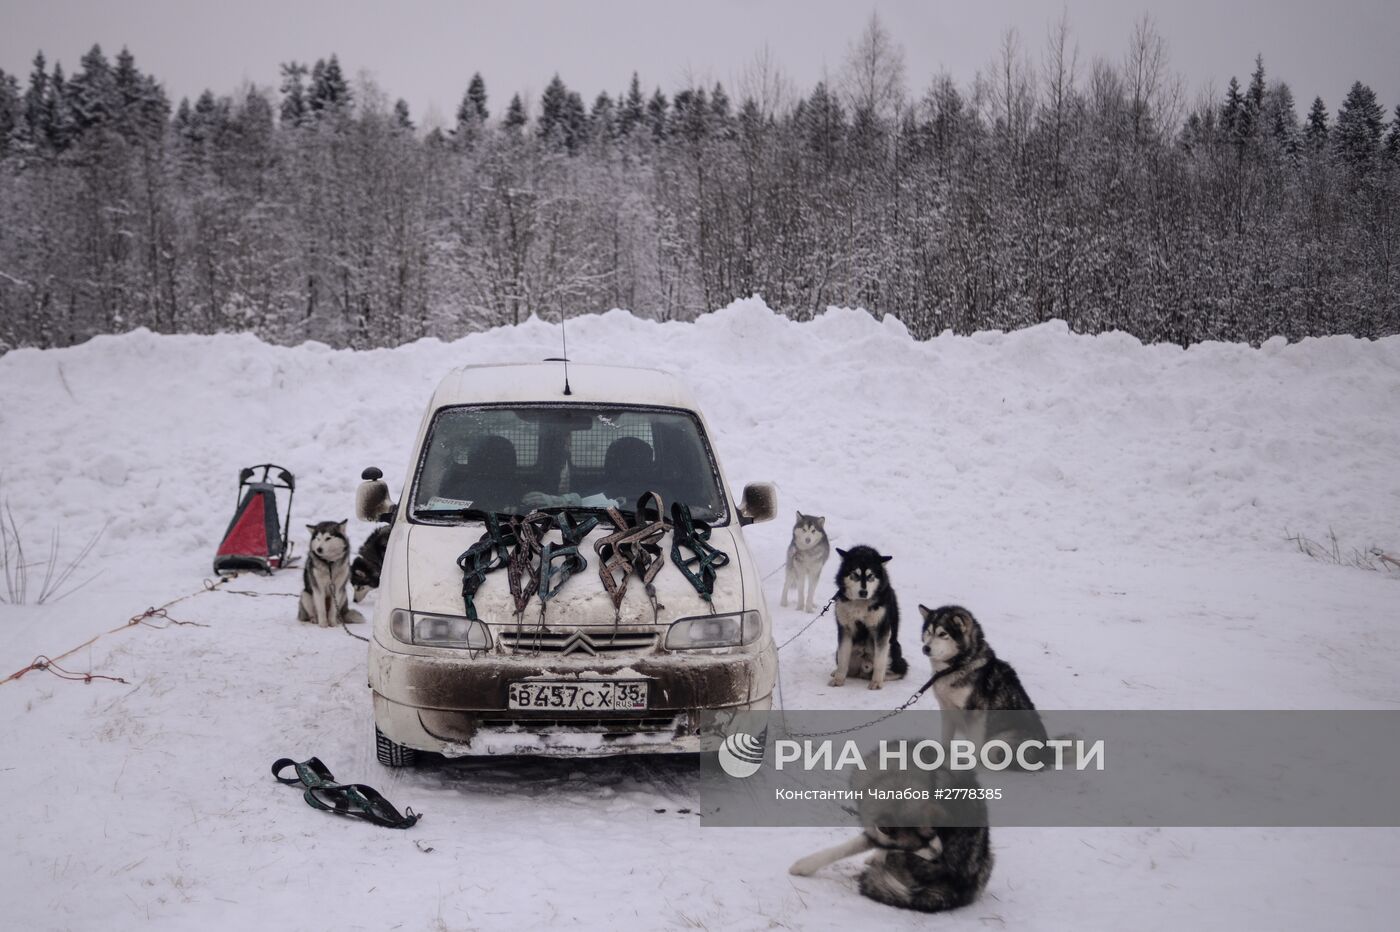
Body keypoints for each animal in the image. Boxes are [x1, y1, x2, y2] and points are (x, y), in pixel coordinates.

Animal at [828, 540, 907, 685]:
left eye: (871, 576)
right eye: (855, 575)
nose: (863, 592)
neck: (860, 604)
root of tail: (862, 669)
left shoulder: (882, 630)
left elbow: (880, 661)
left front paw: (876, 682)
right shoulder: (845, 629)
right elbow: (843, 659)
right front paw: (838, 679)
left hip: (893, 648)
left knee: (899, 670)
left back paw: (884, 677)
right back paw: (838, 672)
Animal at [924, 601, 1047, 750]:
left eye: (942, 634)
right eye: (928, 632)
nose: (925, 648)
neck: (959, 665)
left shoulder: (974, 717)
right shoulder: (947, 712)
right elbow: (946, 741)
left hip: (1002, 739)